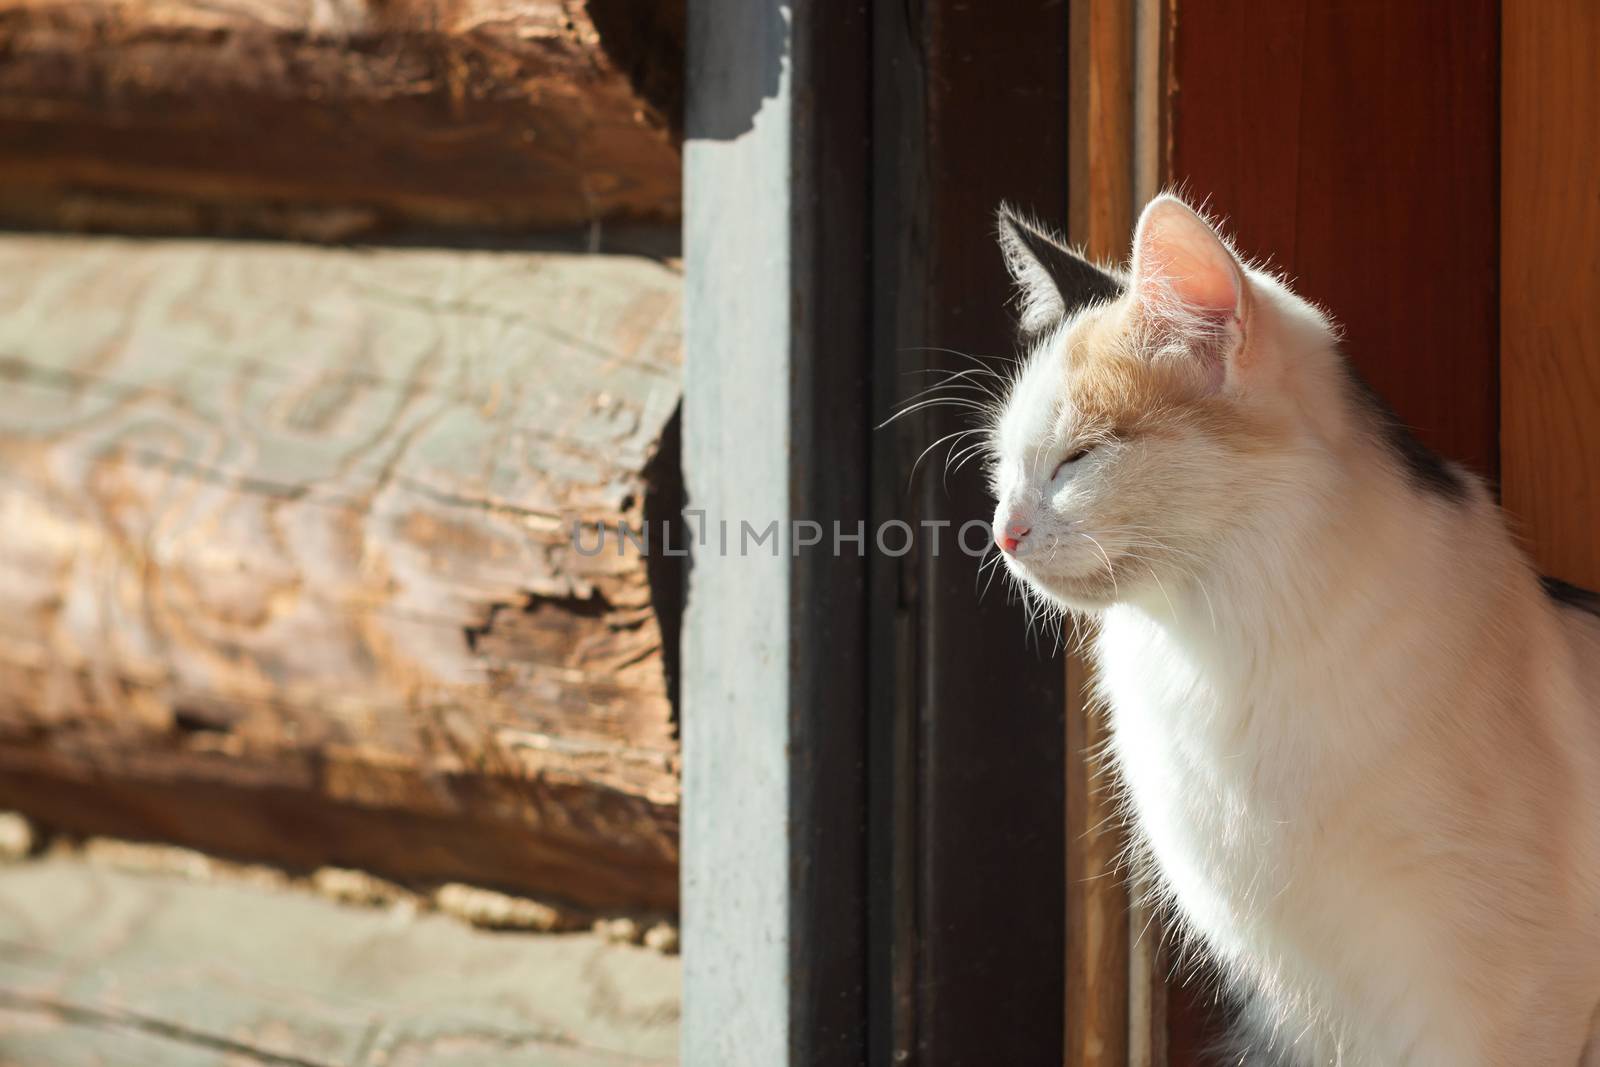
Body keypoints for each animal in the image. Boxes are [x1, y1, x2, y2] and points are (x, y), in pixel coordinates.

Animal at [985, 195, 1600, 1062]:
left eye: (1080, 458)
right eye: (1004, 466)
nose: (1001, 532)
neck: (1221, 658)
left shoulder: (1513, 1003)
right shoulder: (1308, 1007)